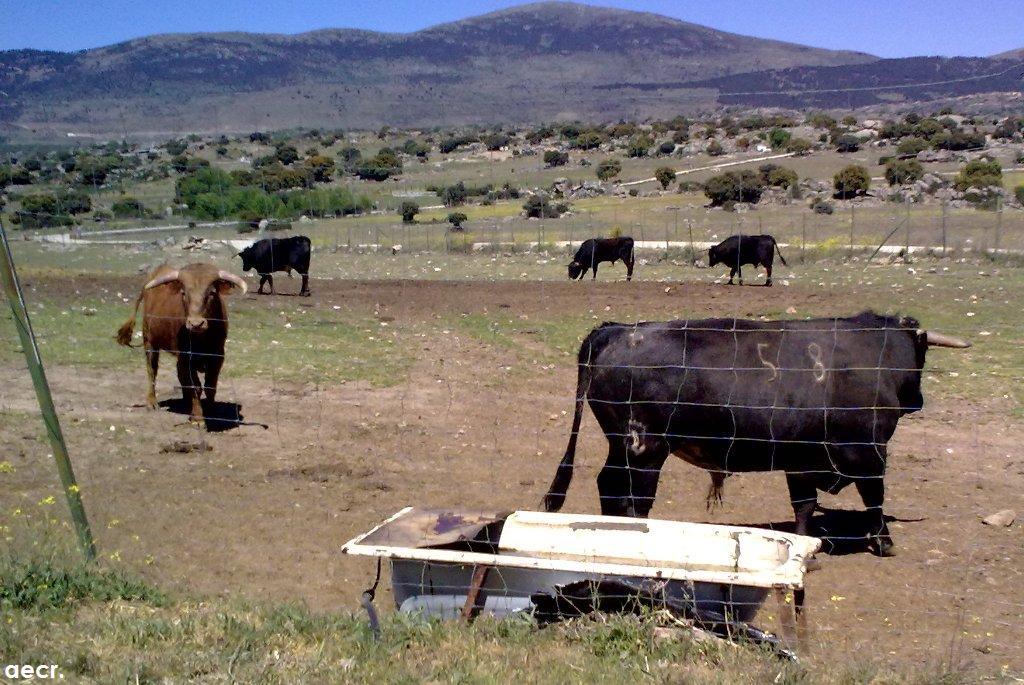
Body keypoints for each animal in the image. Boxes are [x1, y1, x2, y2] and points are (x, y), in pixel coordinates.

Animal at [115, 264, 247, 419]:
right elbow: (195, 386)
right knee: (152, 370)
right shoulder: (185, 356)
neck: (201, 339)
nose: (196, 324)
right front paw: (197, 417)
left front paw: (210, 411)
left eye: (212, 293)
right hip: (150, 342)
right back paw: (152, 402)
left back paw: (186, 401)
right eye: (184, 293)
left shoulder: (218, 356)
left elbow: (210, 386)